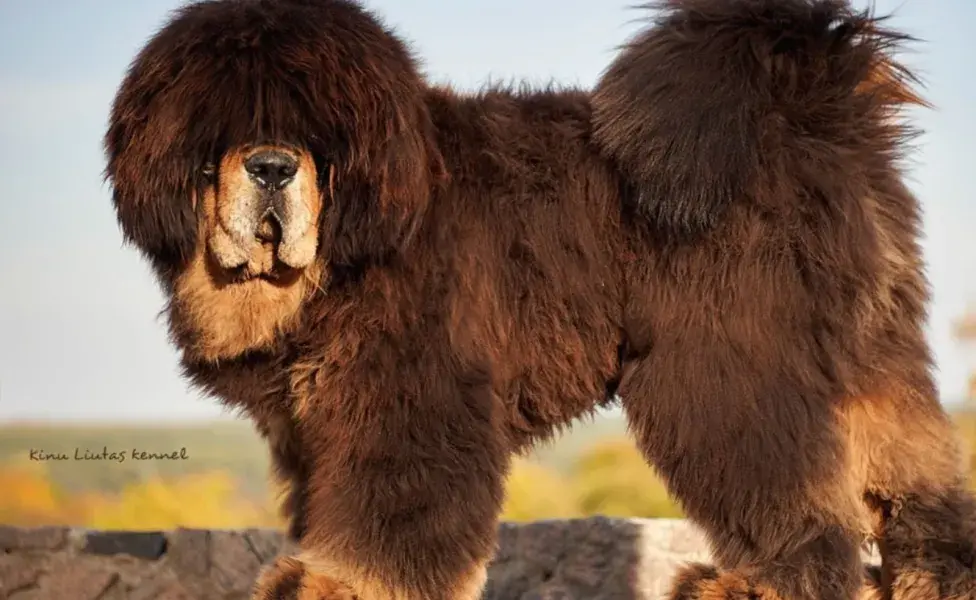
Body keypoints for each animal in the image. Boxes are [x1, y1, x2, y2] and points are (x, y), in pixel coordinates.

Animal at [105, 1, 976, 600]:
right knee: (917, 485)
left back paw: (755, 586)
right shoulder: (314, 420)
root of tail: (814, 111)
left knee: (794, 498)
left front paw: (348, 585)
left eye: (319, 131)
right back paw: (929, 583)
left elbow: (390, 514)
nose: (273, 165)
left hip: (721, 368)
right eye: (220, 126)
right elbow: (331, 503)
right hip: (871, 352)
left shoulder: (408, 395)